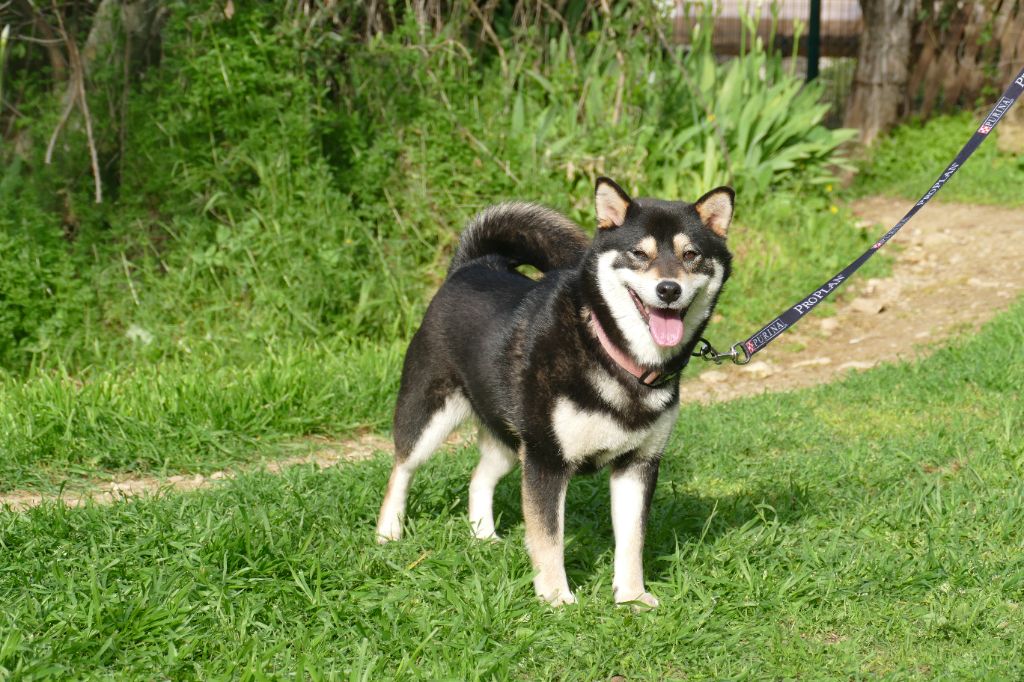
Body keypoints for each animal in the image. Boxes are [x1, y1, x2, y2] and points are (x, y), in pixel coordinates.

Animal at [380, 176, 733, 606]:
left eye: (691, 254)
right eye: (638, 253)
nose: (669, 289)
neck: (611, 354)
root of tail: (471, 266)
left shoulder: (638, 464)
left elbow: (632, 541)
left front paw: (631, 597)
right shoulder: (547, 461)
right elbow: (549, 538)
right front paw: (556, 598)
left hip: (512, 442)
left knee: (478, 478)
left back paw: (485, 536)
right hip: (432, 417)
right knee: (401, 469)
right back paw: (388, 532)